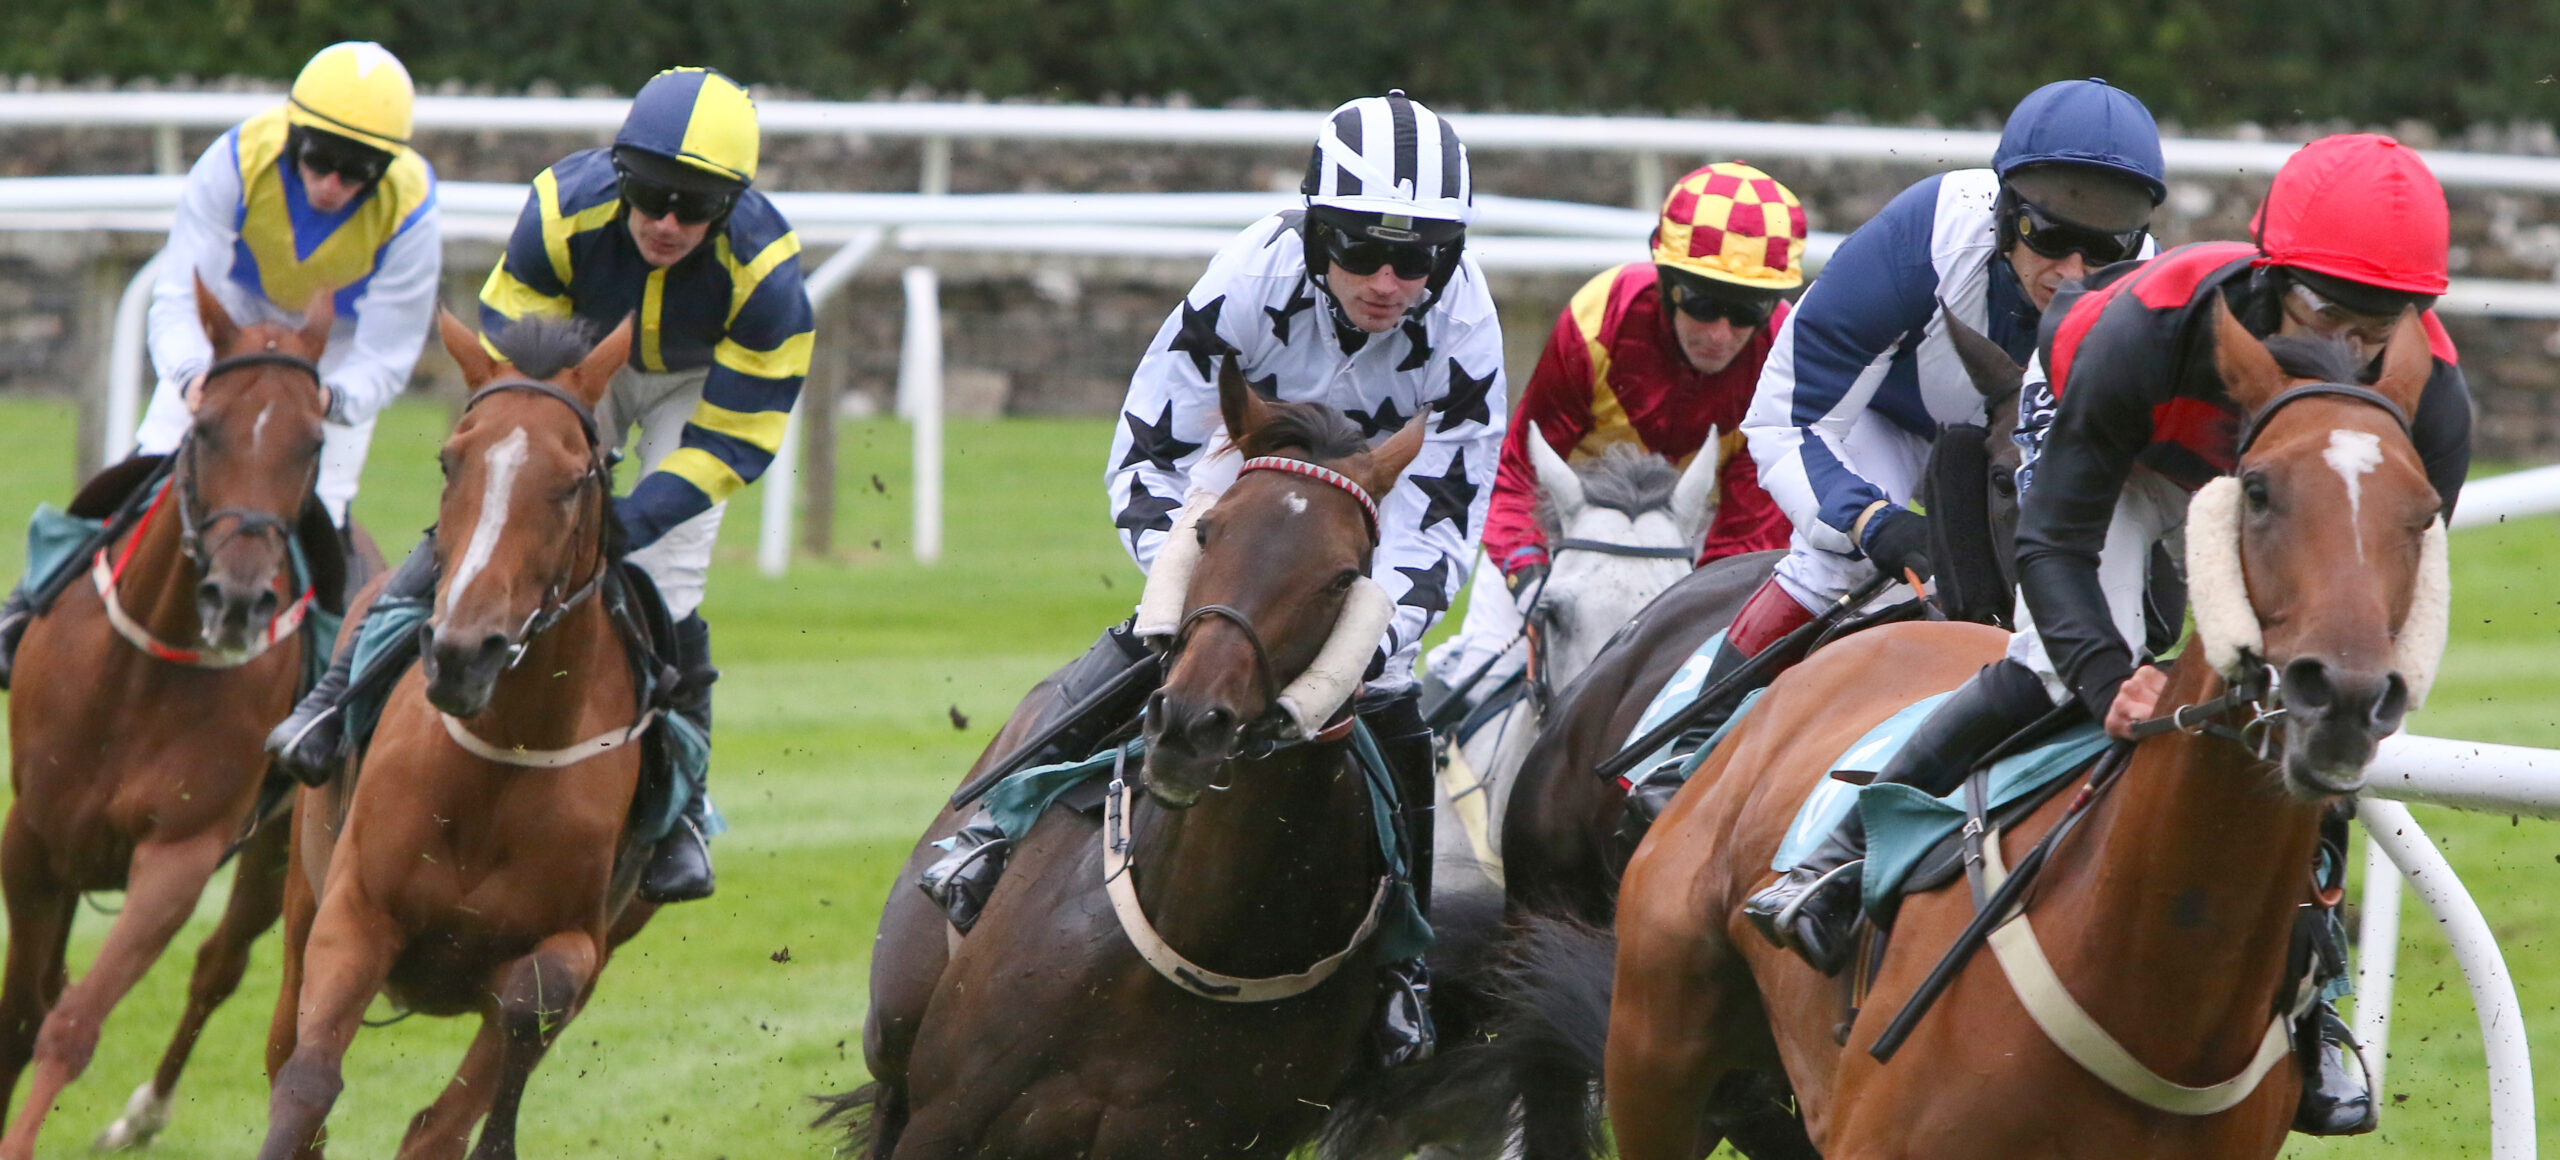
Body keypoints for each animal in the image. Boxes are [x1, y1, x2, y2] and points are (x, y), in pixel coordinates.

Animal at [2, 277, 337, 1157]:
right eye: (207, 425)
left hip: (280, 855)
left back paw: (145, 1112)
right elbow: (22, 1014)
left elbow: (70, 1025)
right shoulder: (34, 836)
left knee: (220, 965)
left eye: (313, 443)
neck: (140, 674)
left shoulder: (179, 857)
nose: (241, 599)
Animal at [259, 309, 655, 1157]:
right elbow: (306, 1085)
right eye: (450, 460)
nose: (462, 653)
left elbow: (533, 998)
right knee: (285, 1053)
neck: (501, 760)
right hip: (302, 894)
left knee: (441, 1120)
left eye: (572, 481)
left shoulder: (584, 940)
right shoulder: (354, 909)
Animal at [839, 355, 1443, 1152]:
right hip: (896, 1041)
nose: (1189, 724)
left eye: (1343, 576)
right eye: (1208, 531)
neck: (1202, 933)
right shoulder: (946, 1117)